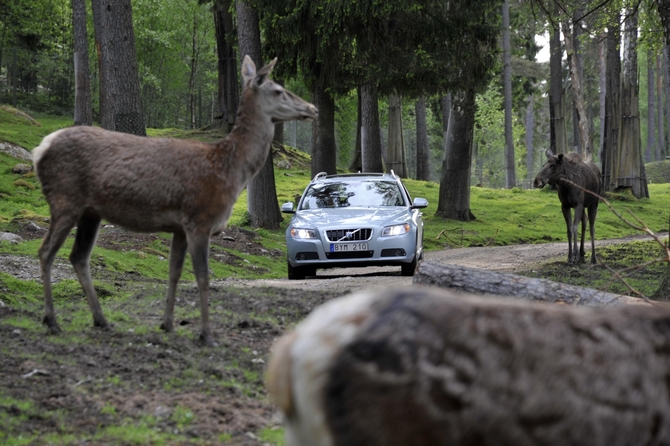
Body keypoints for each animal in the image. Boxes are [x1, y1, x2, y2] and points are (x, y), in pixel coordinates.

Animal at [34, 57, 320, 346]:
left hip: (90, 212)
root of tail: (40, 149)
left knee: (78, 257)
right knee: (46, 251)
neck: (230, 170)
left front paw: (168, 324)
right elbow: (203, 276)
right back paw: (52, 321)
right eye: (279, 90)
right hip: (64, 200)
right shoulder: (199, 219)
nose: (313, 108)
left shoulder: (180, 227)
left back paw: (101, 320)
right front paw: (207, 334)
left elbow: (175, 272)